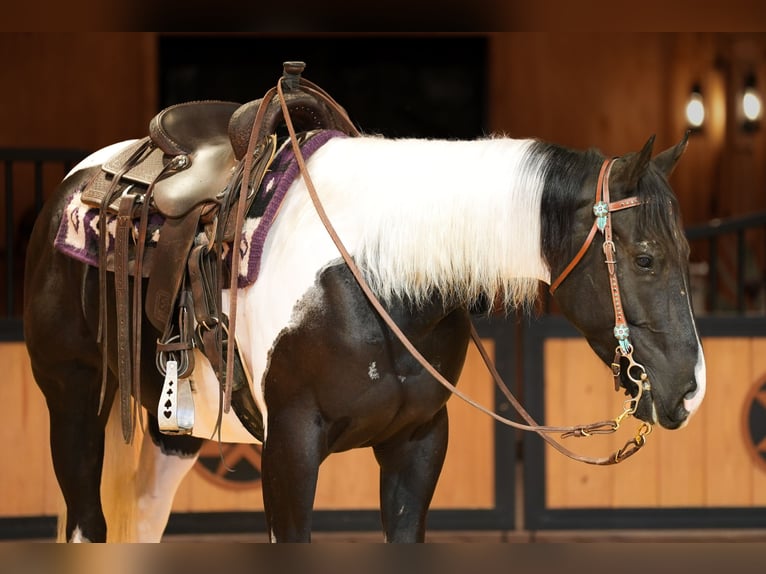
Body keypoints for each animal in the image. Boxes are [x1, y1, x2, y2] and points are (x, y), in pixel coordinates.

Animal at [23, 89, 706, 541]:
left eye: (685, 253)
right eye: (645, 258)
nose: (692, 391)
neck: (375, 273)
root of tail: (80, 180)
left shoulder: (418, 445)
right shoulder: (291, 448)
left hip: (175, 429)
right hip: (74, 399)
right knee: (88, 521)